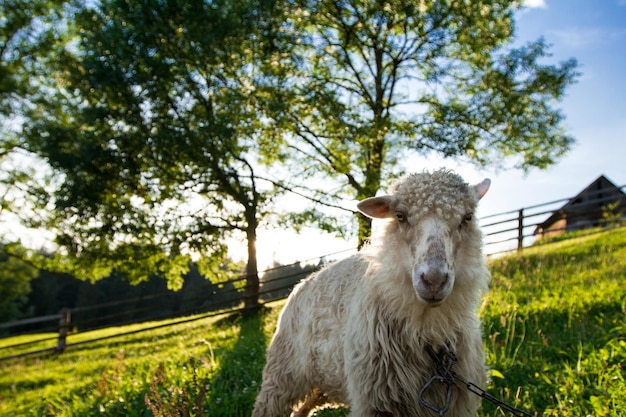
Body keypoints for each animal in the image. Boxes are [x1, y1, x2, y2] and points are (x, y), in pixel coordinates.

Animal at [251, 170, 490, 416]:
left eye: (468, 217)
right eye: (400, 216)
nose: (434, 280)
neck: (427, 330)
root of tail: (302, 283)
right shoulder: (376, 401)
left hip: (323, 382)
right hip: (282, 374)